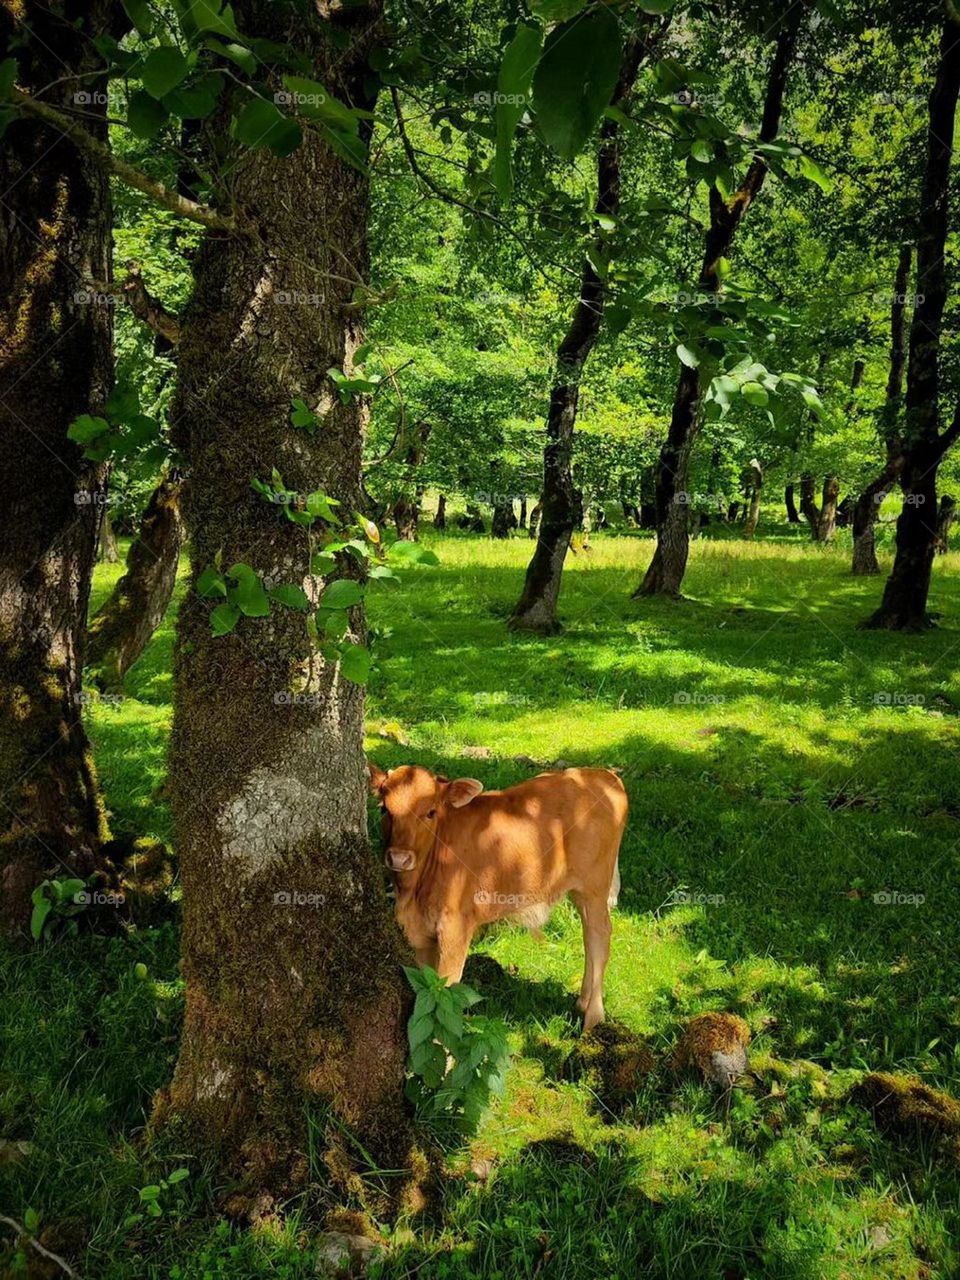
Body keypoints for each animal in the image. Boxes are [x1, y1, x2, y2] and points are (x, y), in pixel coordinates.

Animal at [368, 757, 632, 1029]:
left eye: (430, 812)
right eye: (384, 809)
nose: (399, 858)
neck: (413, 893)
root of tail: (603, 775)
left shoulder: (456, 928)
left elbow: (446, 993)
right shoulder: (421, 935)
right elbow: (428, 988)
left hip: (595, 886)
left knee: (599, 937)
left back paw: (593, 1016)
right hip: (578, 890)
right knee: (588, 934)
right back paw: (582, 1001)